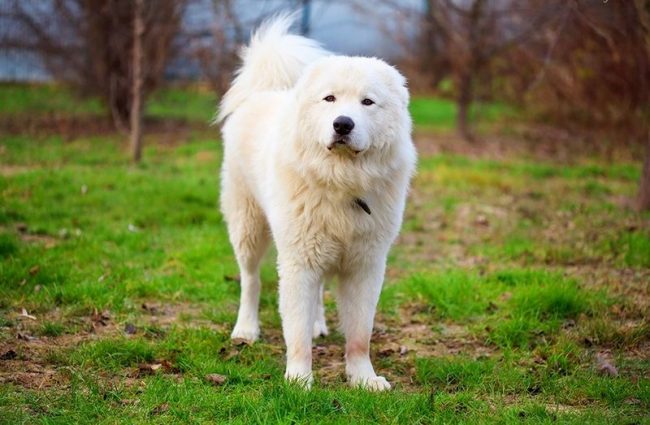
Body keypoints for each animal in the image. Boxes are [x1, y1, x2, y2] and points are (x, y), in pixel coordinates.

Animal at [218, 15, 416, 388]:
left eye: (367, 102)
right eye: (330, 99)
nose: (343, 124)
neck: (341, 180)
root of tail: (266, 90)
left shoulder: (364, 266)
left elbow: (360, 335)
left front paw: (363, 379)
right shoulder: (299, 262)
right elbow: (295, 335)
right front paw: (299, 381)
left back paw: (317, 325)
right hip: (249, 227)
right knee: (250, 280)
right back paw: (246, 329)